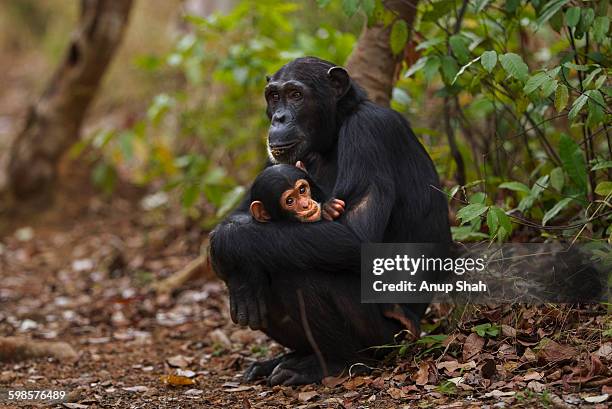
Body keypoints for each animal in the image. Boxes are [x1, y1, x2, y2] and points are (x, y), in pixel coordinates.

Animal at [210, 55, 450, 384]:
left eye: (295, 95)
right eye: (274, 96)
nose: (279, 118)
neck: (333, 134)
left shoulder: (368, 133)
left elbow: (356, 238)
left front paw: (224, 242)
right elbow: (250, 208)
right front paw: (240, 278)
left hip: (386, 337)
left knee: (297, 271)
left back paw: (333, 364)